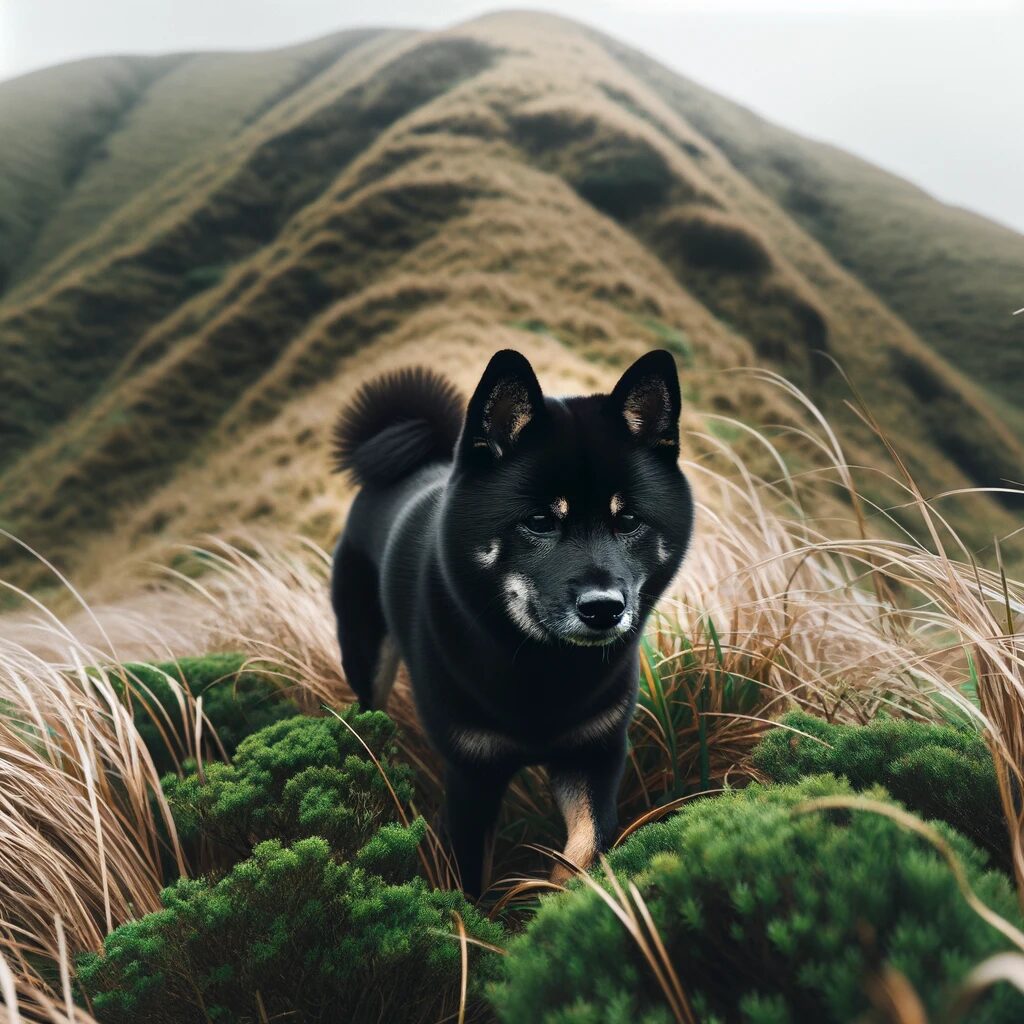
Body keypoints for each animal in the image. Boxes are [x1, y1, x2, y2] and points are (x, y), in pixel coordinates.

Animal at [331, 352, 692, 897]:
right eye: (540, 521)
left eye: (627, 520)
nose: (604, 608)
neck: (542, 669)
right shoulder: (471, 774)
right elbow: (470, 878)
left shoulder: (596, 753)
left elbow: (587, 843)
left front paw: (560, 895)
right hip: (367, 659)